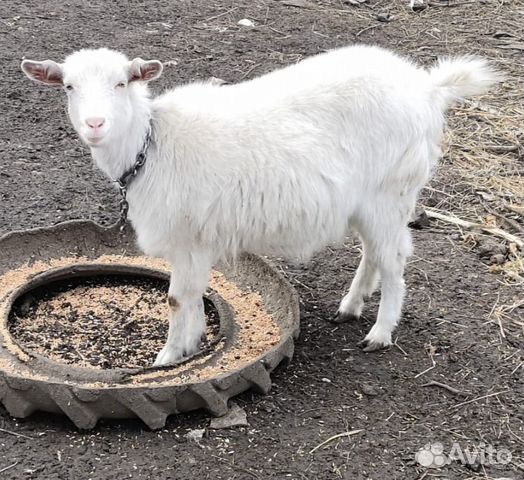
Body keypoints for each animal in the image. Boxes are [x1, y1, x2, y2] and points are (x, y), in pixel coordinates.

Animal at [20, 47, 502, 366]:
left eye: (122, 83)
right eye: (69, 87)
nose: (95, 124)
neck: (152, 143)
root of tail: (428, 88)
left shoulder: (188, 236)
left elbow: (176, 299)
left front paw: (167, 357)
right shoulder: (194, 242)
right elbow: (191, 297)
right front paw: (192, 345)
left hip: (392, 190)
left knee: (395, 261)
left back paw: (380, 333)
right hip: (368, 202)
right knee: (375, 253)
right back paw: (351, 305)